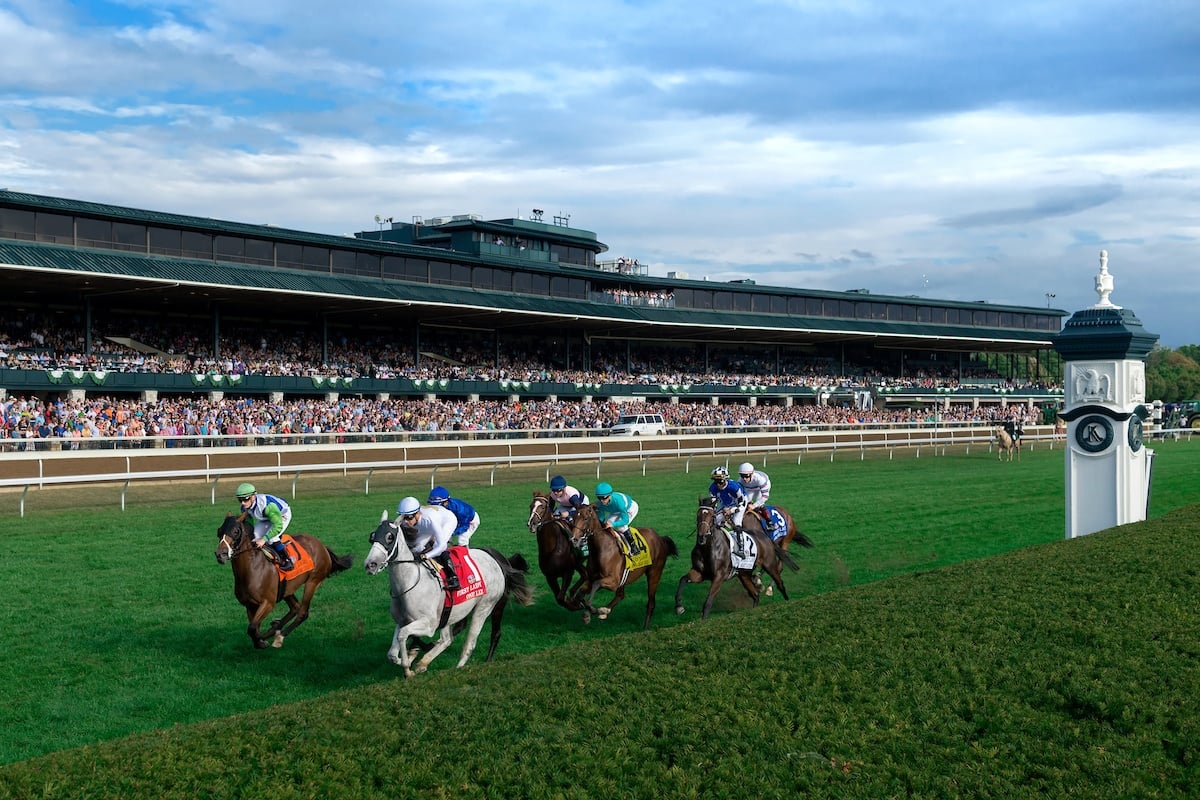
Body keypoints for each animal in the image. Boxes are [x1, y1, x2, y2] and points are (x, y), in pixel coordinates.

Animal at [216, 513, 350, 652]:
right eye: (219, 531)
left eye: (235, 531)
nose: (221, 554)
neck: (253, 569)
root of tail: (322, 546)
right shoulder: (249, 605)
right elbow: (254, 628)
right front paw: (261, 640)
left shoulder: (268, 602)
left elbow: (252, 628)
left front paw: (261, 642)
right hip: (288, 589)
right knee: (295, 608)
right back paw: (274, 628)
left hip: (313, 582)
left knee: (303, 612)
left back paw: (279, 637)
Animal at [360, 513, 535, 676]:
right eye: (372, 537)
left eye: (390, 537)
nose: (370, 564)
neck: (410, 582)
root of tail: (497, 559)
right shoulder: (403, 620)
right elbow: (392, 652)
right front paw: (408, 658)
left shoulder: (429, 624)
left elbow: (404, 636)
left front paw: (408, 667)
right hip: (456, 610)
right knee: (448, 638)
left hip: (486, 606)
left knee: (472, 642)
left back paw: (461, 667)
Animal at [672, 494, 801, 618]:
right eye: (698, 514)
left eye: (712, 515)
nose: (702, 537)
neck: (707, 548)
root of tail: (766, 538)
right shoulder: (699, 573)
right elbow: (683, 579)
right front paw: (679, 607)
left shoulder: (718, 577)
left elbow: (708, 603)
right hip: (744, 575)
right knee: (755, 595)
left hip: (771, 563)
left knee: (780, 582)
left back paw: (784, 600)